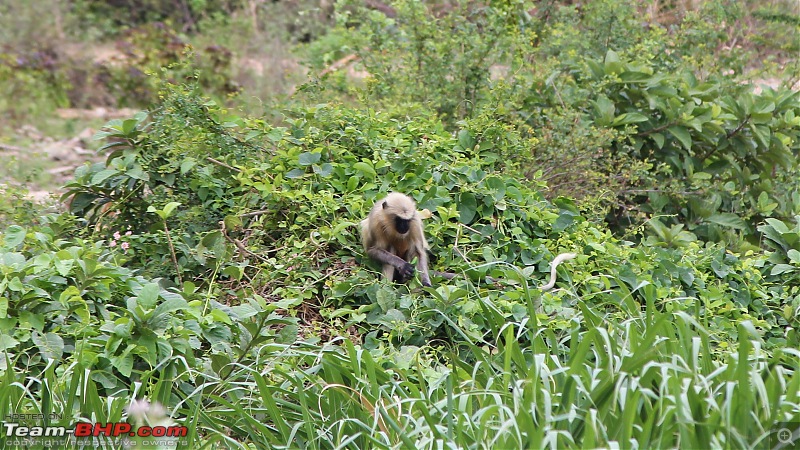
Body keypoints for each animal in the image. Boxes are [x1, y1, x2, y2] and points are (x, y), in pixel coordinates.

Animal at [360, 191, 576, 290]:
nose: (404, 228)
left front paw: (426, 284)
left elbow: (420, 251)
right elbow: (373, 250)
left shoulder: (414, 221)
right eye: (399, 220)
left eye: (405, 221)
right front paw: (402, 267)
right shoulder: (378, 221)